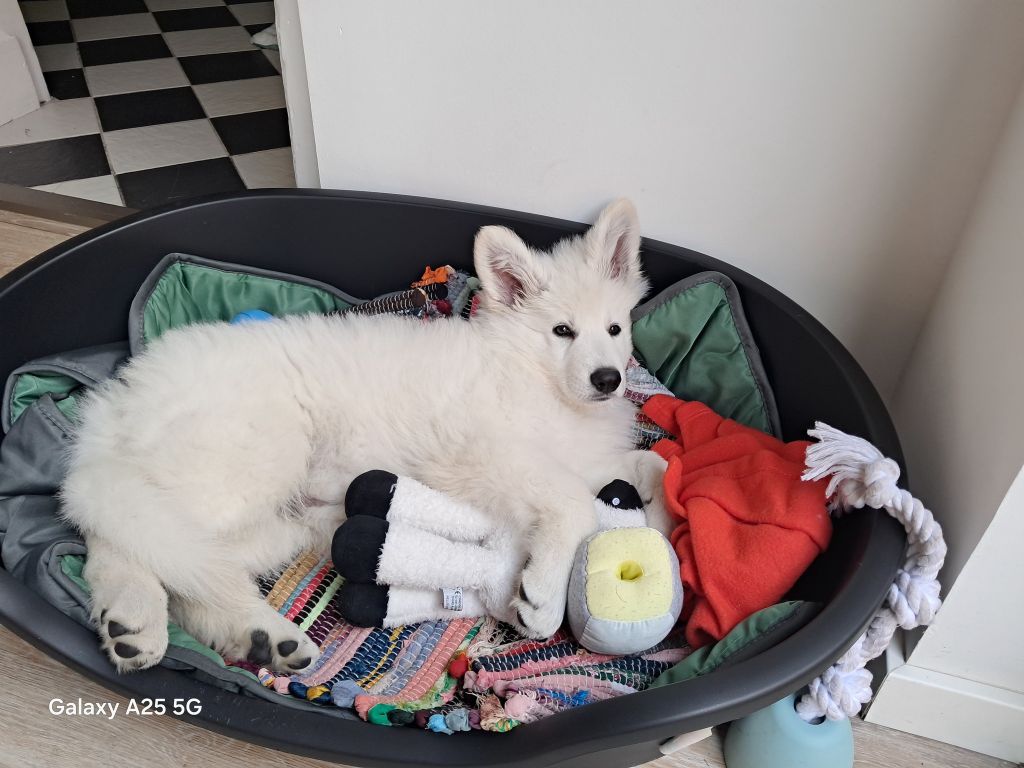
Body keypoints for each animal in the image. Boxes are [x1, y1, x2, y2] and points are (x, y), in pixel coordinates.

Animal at [60, 199, 670, 674]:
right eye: (562, 331)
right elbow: (573, 504)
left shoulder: (578, 456)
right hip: (244, 463)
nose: (608, 379)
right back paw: (134, 617)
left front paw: (665, 507)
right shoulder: (485, 453)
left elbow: (648, 466)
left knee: (190, 569)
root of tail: (120, 396)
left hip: (277, 522)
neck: (536, 378)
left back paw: (258, 638)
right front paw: (541, 597)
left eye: (615, 328)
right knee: (116, 534)